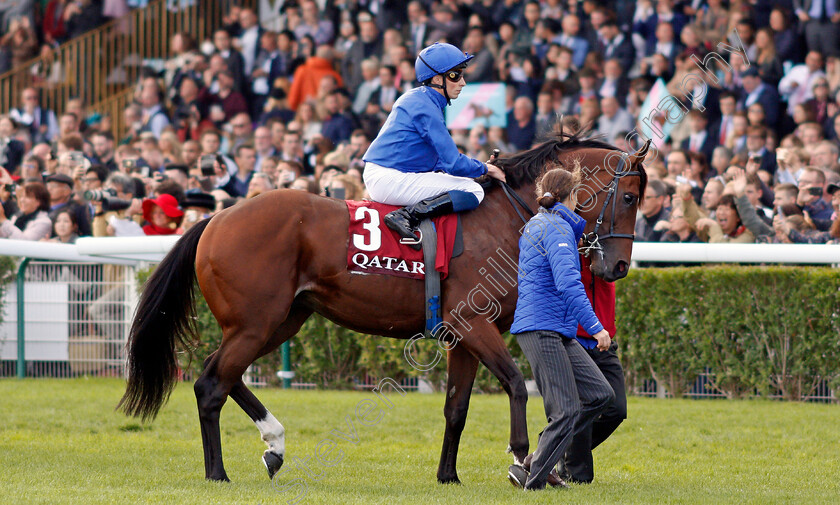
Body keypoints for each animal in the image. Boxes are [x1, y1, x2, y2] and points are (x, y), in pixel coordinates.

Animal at [118, 134, 648, 484]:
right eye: (628, 195)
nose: (619, 266)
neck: (507, 217)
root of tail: (217, 216)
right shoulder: (474, 323)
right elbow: (517, 384)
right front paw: (522, 459)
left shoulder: (462, 335)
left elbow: (456, 407)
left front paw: (448, 476)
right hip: (256, 322)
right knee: (211, 384)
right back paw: (218, 473)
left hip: (281, 320)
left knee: (222, 375)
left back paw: (274, 445)